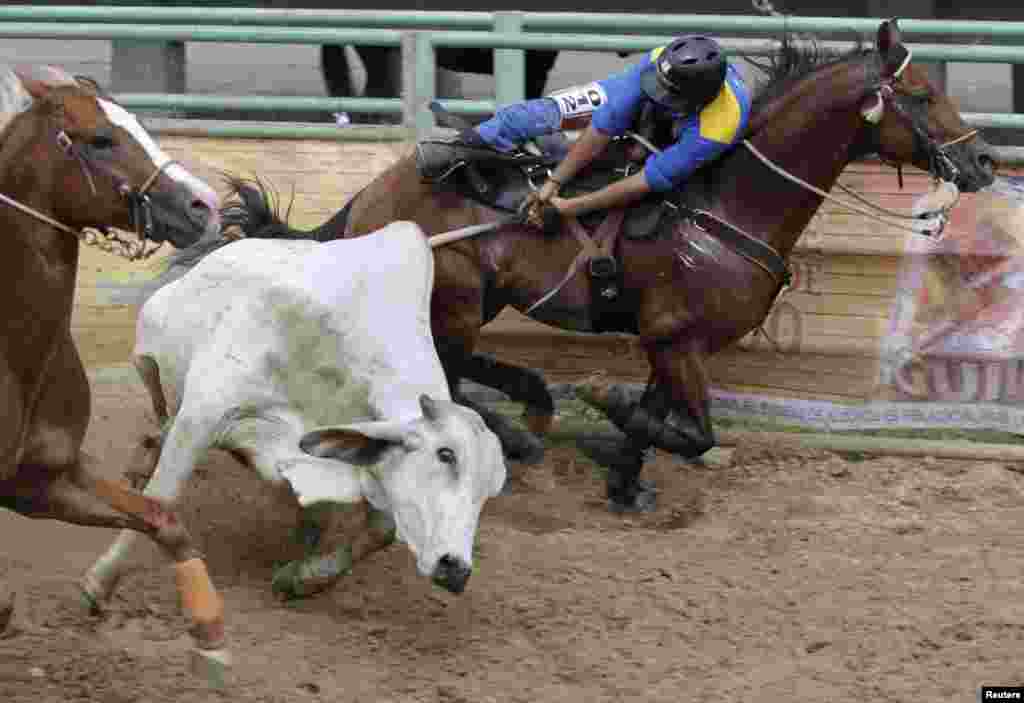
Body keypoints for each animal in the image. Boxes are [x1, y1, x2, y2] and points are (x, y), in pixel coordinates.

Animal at [82, 221, 503, 597]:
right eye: (446, 454)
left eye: (491, 490)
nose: (457, 569)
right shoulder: (204, 414)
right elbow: (163, 498)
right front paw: (100, 582)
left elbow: (374, 529)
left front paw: (302, 577)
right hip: (147, 362)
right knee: (160, 411)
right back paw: (140, 463)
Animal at [209, 17, 991, 511]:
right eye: (923, 95)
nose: (983, 159)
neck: (727, 204)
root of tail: (371, 196)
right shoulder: (678, 341)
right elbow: (693, 431)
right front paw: (603, 413)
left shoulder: (668, 342)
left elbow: (664, 421)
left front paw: (623, 478)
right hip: (454, 300)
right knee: (447, 378)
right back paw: (522, 425)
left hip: (475, 300)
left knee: (458, 375)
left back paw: (531, 404)